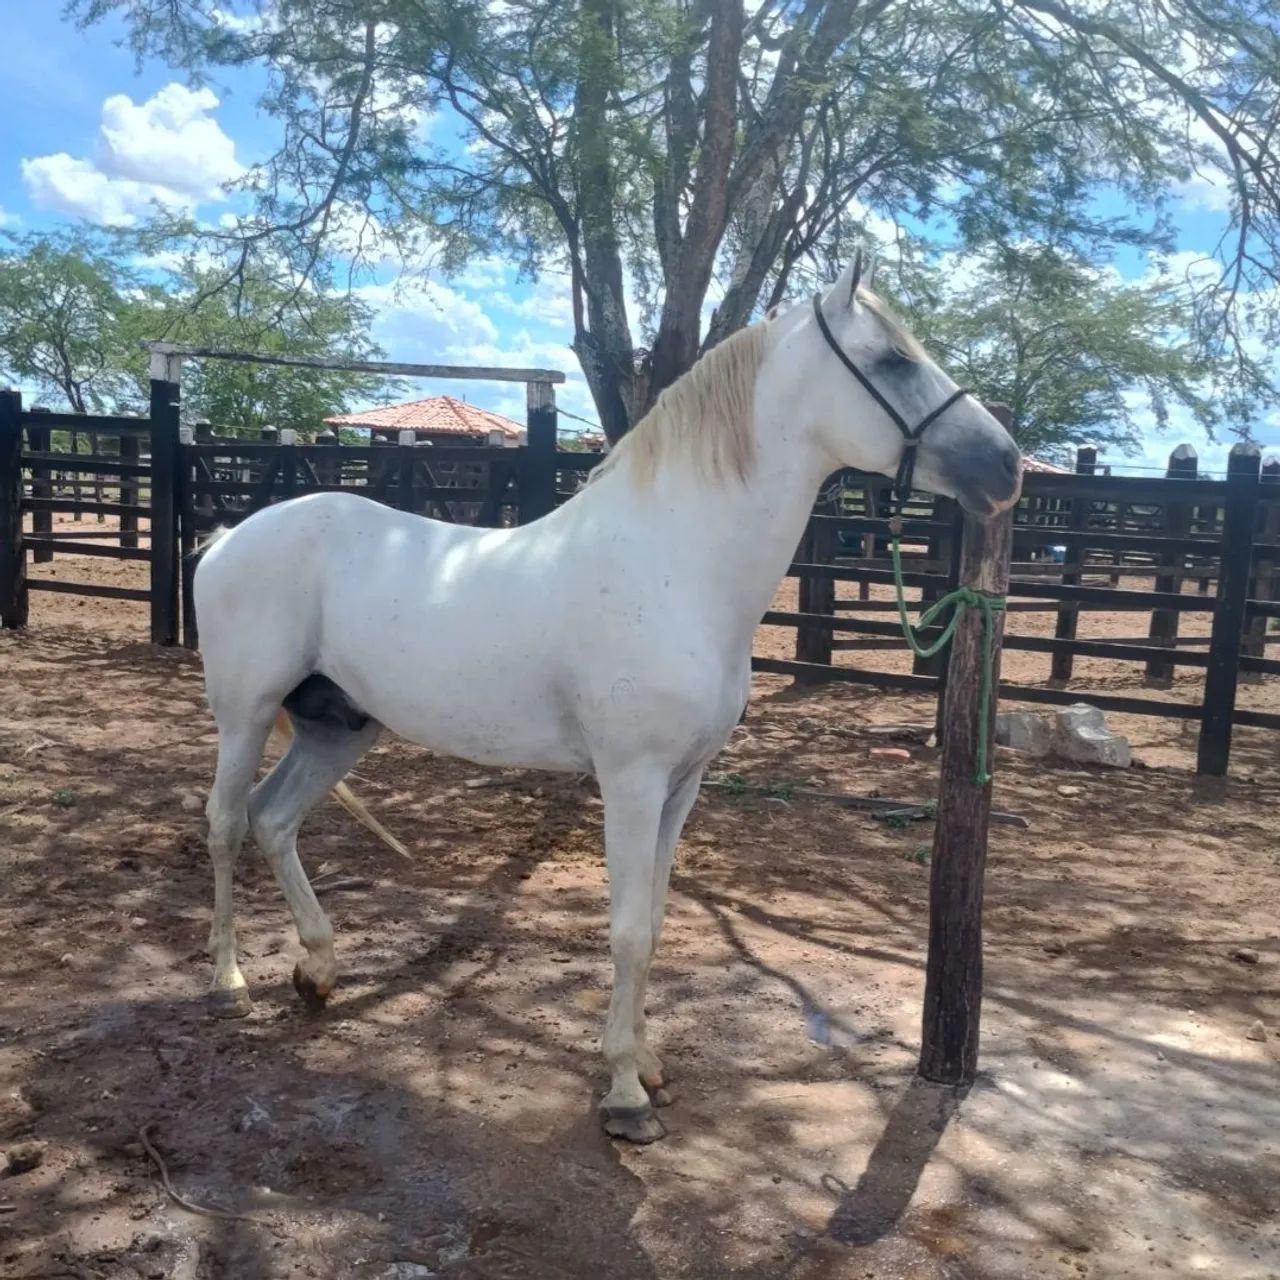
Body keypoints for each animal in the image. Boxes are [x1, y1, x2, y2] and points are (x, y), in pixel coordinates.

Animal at [192, 255, 1022, 1143]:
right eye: (893, 360)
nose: (1007, 466)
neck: (675, 564)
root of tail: (231, 537)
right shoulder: (631, 780)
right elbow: (625, 931)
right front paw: (624, 1094)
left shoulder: (683, 784)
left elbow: (653, 924)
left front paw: (647, 1065)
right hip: (246, 713)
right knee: (227, 823)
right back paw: (229, 981)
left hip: (338, 727)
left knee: (275, 820)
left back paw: (317, 969)